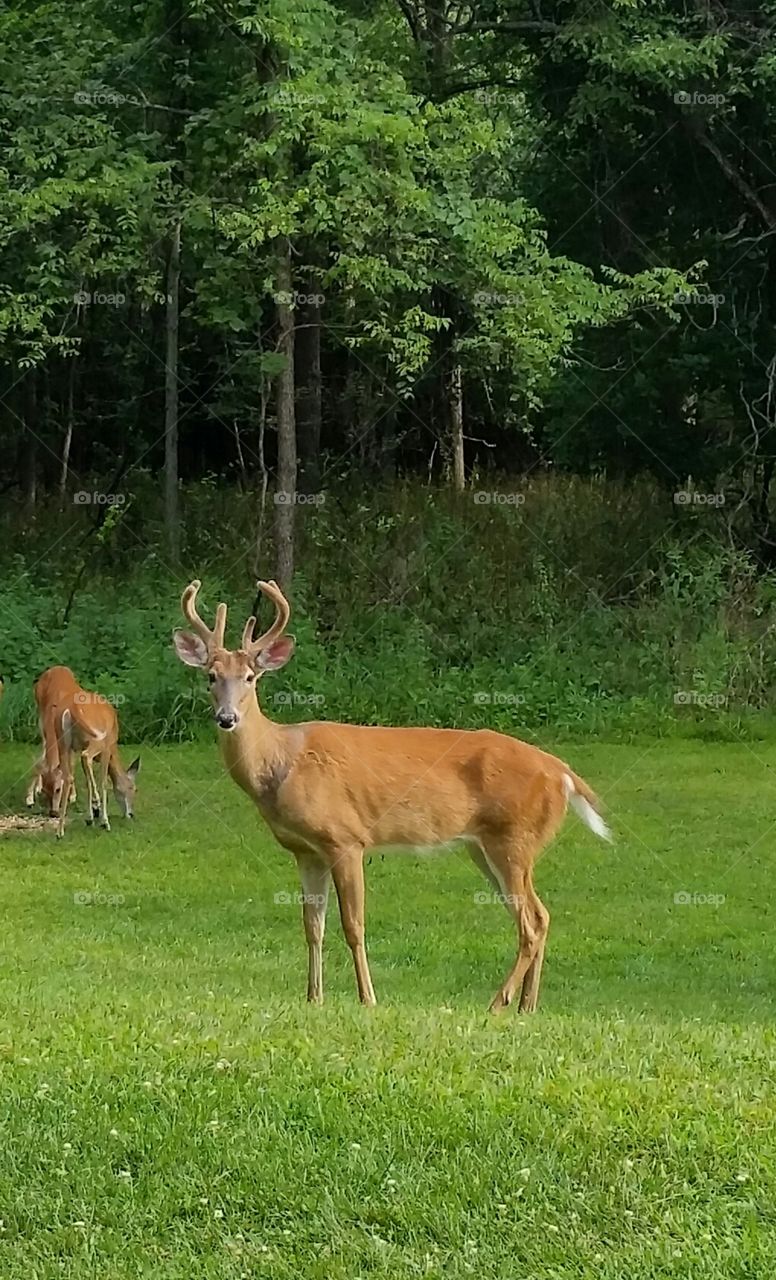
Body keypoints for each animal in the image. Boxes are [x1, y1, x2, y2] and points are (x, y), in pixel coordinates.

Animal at [26, 666, 140, 836]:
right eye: (132, 788)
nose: (130, 814)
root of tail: (71, 710)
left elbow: (87, 780)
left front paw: (90, 817)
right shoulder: (106, 750)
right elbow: (103, 781)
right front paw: (100, 817)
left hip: (65, 743)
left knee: (67, 775)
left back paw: (60, 831)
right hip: (95, 741)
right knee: (86, 758)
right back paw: (99, 813)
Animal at [174, 580, 612, 1013]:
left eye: (250, 677)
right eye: (211, 676)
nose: (227, 718)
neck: (281, 762)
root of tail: (562, 772)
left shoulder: (345, 838)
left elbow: (353, 925)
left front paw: (367, 998)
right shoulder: (305, 850)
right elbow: (312, 926)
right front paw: (313, 998)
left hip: (514, 837)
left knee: (531, 922)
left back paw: (498, 1001)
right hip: (487, 845)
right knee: (541, 915)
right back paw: (525, 1005)